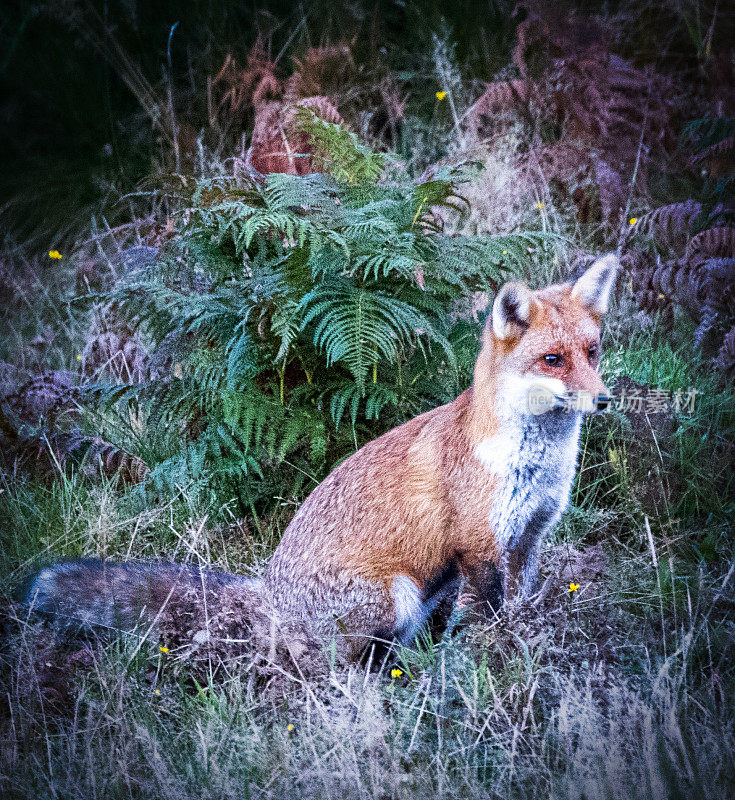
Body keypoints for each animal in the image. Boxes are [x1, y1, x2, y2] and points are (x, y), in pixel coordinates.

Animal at [25, 255, 620, 664]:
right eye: (552, 359)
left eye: (592, 352)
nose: (604, 400)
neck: (531, 463)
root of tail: (271, 594)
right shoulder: (480, 546)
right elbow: (491, 615)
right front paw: (495, 653)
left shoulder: (530, 535)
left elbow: (521, 600)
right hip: (398, 596)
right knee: (336, 663)